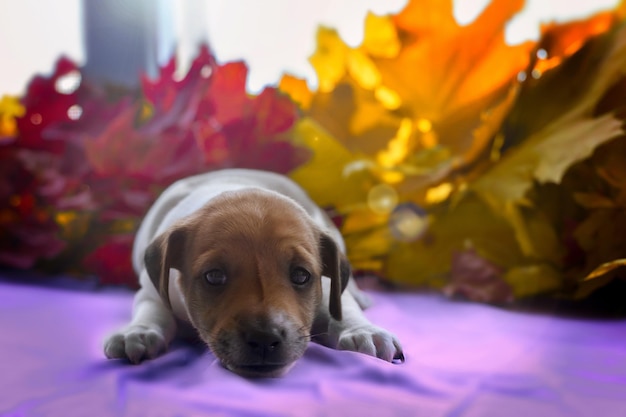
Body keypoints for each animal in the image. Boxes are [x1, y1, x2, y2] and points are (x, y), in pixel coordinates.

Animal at [104, 167, 402, 376]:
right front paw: (138, 331)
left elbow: (343, 308)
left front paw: (362, 331)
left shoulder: (329, 287)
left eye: (301, 275)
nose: (264, 339)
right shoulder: (153, 291)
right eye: (214, 276)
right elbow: (153, 310)